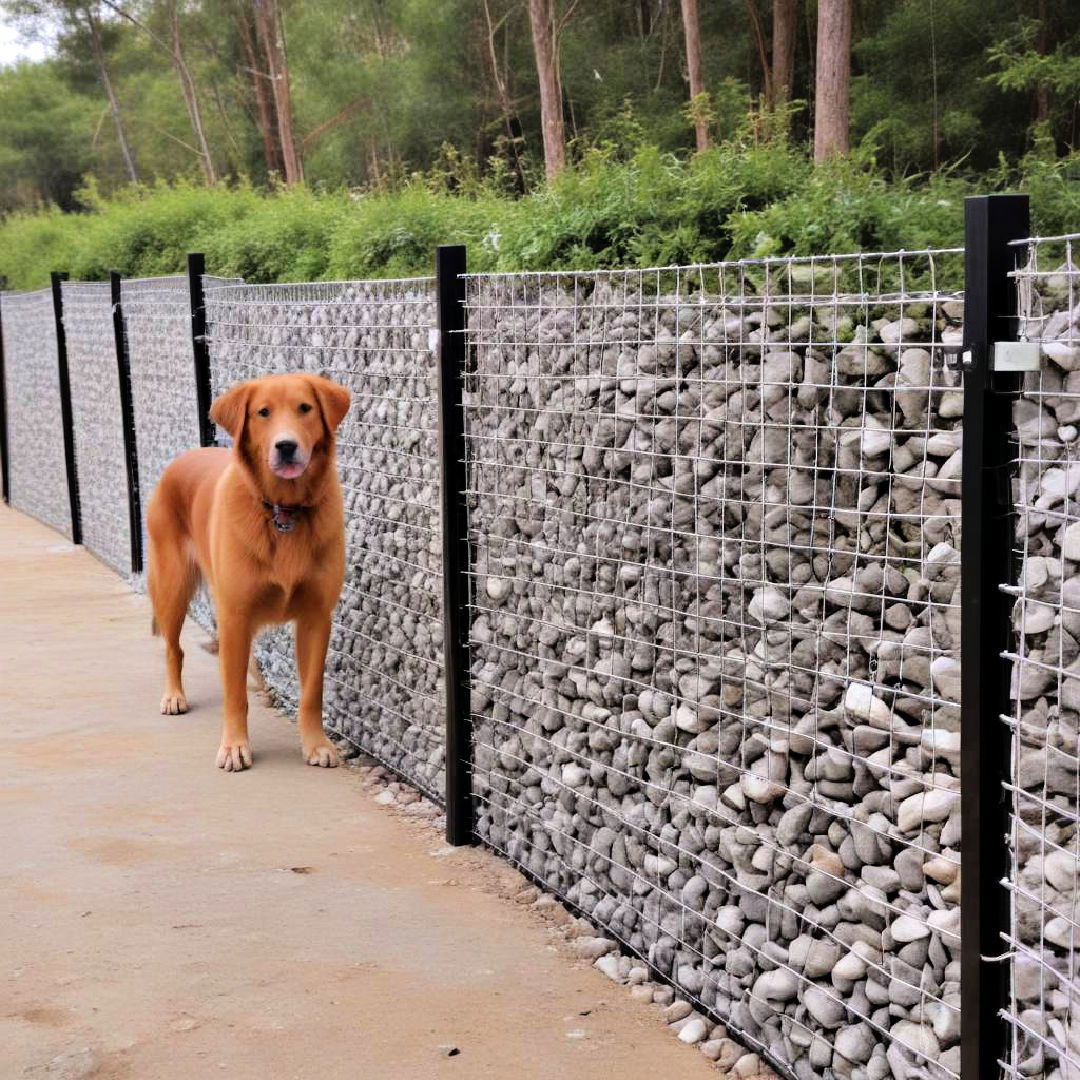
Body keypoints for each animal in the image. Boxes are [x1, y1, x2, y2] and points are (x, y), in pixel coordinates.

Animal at [145, 371, 349, 768]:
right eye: (263, 412)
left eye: (305, 408)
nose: (286, 446)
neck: (283, 511)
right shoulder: (236, 614)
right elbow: (233, 694)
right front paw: (235, 746)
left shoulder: (316, 616)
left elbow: (311, 691)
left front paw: (316, 744)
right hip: (173, 587)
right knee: (174, 648)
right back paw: (174, 695)